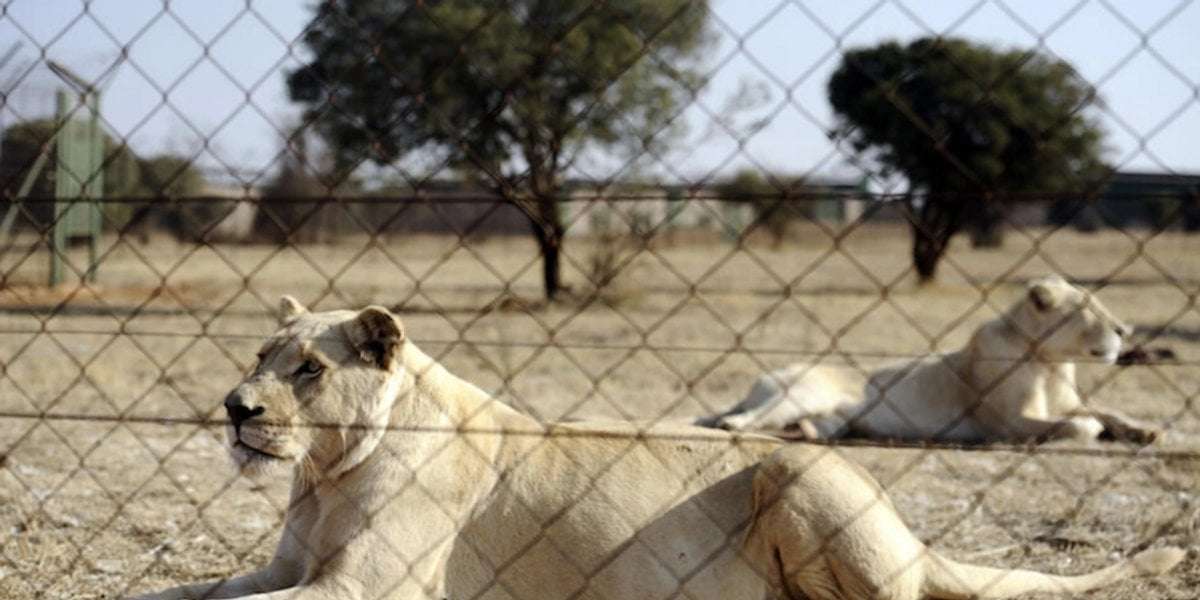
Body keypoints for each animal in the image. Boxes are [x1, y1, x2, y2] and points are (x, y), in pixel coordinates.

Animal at [131, 296, 1183, 600]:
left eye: (308, 369)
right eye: (257, 358)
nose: (232, 407)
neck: (323, 475)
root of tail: (911, 536)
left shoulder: (364, 590)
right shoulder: (281, 571)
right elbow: (178, 597)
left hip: (799, 470)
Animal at [702, 276, 1163, 444]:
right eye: (1086, 308)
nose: (1125, 331)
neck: (1049, 361)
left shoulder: (1067, 401)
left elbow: (1104, 410)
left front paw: (1145, 430)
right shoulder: (1008, 424)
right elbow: (1082, 423)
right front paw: (1101, 431)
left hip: (834, 419)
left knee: (802, 425)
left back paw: (805, 433)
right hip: (803, 391)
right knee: (748, 416)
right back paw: (733, 425)